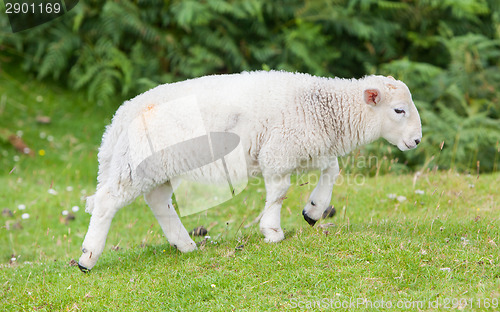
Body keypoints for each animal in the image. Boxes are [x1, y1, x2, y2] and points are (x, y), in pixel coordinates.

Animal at [78, 70, 422, 270]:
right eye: (398, 110)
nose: (417, 140)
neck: (325, 110)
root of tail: (120, 117)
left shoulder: (304, 145)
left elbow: (332, 169)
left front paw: (313, 210)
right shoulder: (280, 151)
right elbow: (280, 191)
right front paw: (272, 231)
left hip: (155, 167)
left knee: (158, 201)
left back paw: (185, 244)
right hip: (135, 166)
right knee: (108, 201)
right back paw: (87, 257)